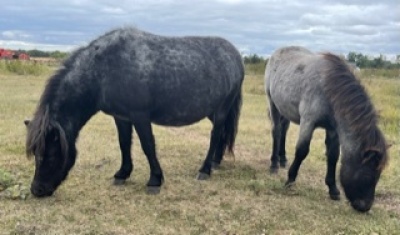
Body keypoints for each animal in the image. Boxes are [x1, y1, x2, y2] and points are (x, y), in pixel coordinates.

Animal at [25, 27, 244, 196]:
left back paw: (205, 170)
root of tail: (235, 56)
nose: (37, 190)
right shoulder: (121, 117)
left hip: (222, 109)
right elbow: (124, 144)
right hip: (213, 111)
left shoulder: (140, 116)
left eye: (50, 154)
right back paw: (215, 162)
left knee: (215, 135)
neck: (103, 70)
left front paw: (155, 180)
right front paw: (122, 174)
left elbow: (148, 146)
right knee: (222, 133)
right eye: (35, 153)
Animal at [264, 45, 390, 211]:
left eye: (379, 175)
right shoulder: (308, 122)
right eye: (369, 175)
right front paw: (290, 179)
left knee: (284, 130)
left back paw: (282, 159)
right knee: (277, 132)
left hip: (285, 109)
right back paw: (274, 164)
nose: (365, 207)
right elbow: (302, 151)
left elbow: (333, 156)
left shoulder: (333, 130)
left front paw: (333, 189)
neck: (328, 88)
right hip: (273, 104)